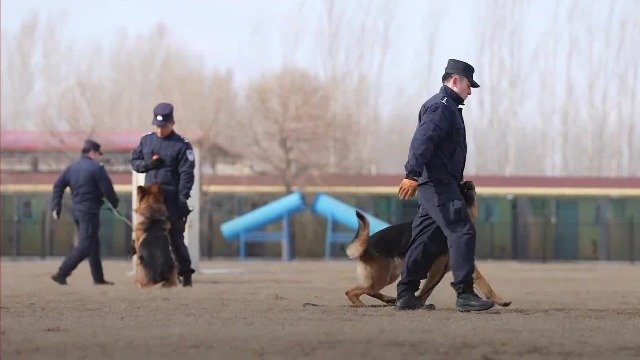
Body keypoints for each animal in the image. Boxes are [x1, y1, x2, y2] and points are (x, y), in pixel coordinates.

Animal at [344, 181, 510, 308]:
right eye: (461, 190)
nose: (469, 182)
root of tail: (365, 247)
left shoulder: (449, 267)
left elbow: (482, 282)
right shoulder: (437, 269)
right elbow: (428, 289)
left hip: (390, 275)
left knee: (367, 290)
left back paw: (389, 299)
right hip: (381, 277)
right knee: (353, 291)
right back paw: (360, 304)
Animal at [396, 59, 496, 312]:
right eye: (469, 83)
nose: (470, 91)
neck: (446, 98)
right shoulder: (437, 112)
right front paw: (468, 298)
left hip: (428, 212)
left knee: (418, 244)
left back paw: (407, 298)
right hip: (442, 199)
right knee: (459, 232)